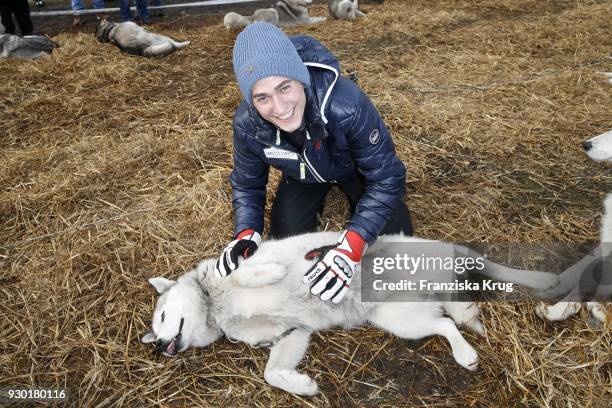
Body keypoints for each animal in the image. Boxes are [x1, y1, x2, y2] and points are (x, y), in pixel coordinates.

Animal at [140, 231, 560, 394]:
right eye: (154, 332)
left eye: (160, 318)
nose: (158, 345)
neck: (214, 307)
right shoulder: (291, 334)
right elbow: (272, 373)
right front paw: (302, 386)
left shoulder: (255, 267)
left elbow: (246, 270)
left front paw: (268, 273)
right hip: (402, 321)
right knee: (446, 323)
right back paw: (466, 350)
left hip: (442, 262)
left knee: (482, 274)